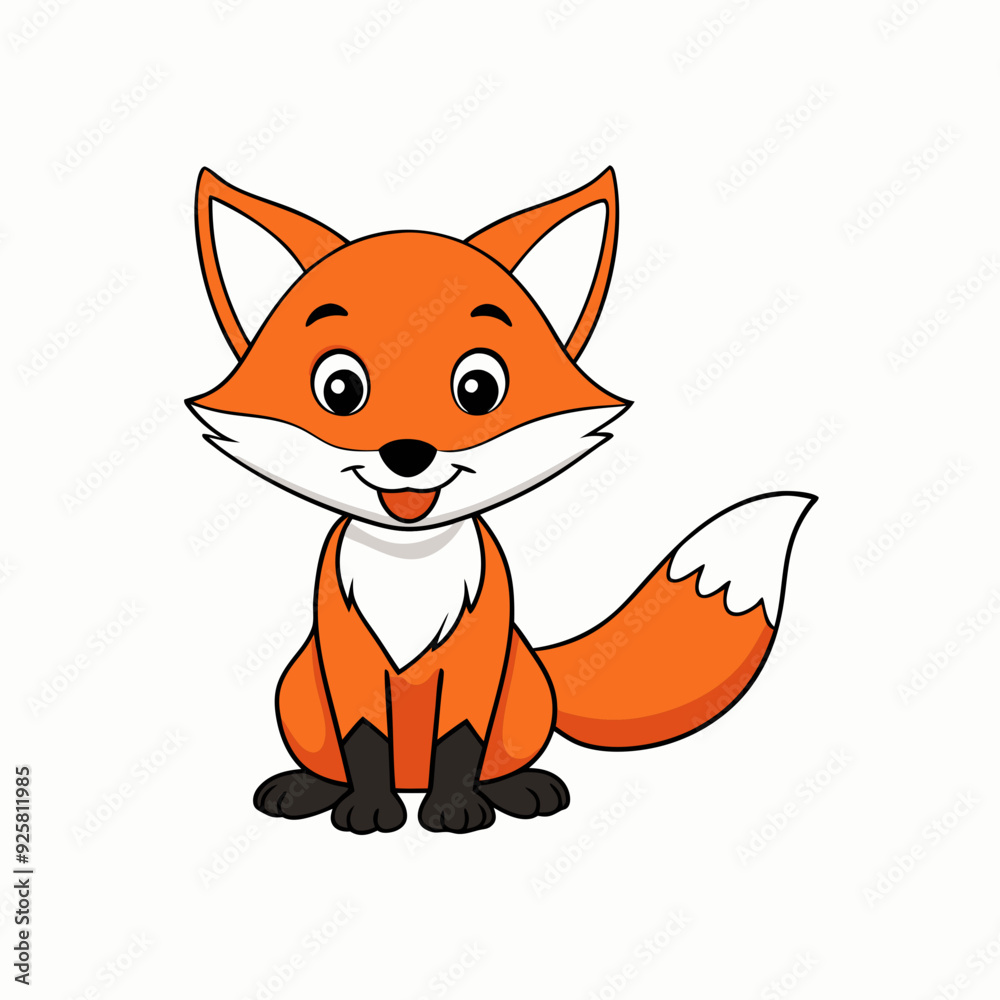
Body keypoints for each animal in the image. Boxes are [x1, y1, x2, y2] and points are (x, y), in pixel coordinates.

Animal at [188, 165, 815, 835]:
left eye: (479, 387)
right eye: (339, 388)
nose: (407, 453)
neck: (411, 566)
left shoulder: (478, 658)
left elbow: (461, 740)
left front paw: (453, 809)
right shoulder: (346, 656)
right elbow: (365, 740)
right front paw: (371, 807)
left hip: (524, 695)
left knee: (502, 759)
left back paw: (519, 789)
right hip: (297, 694)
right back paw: (307, 788)